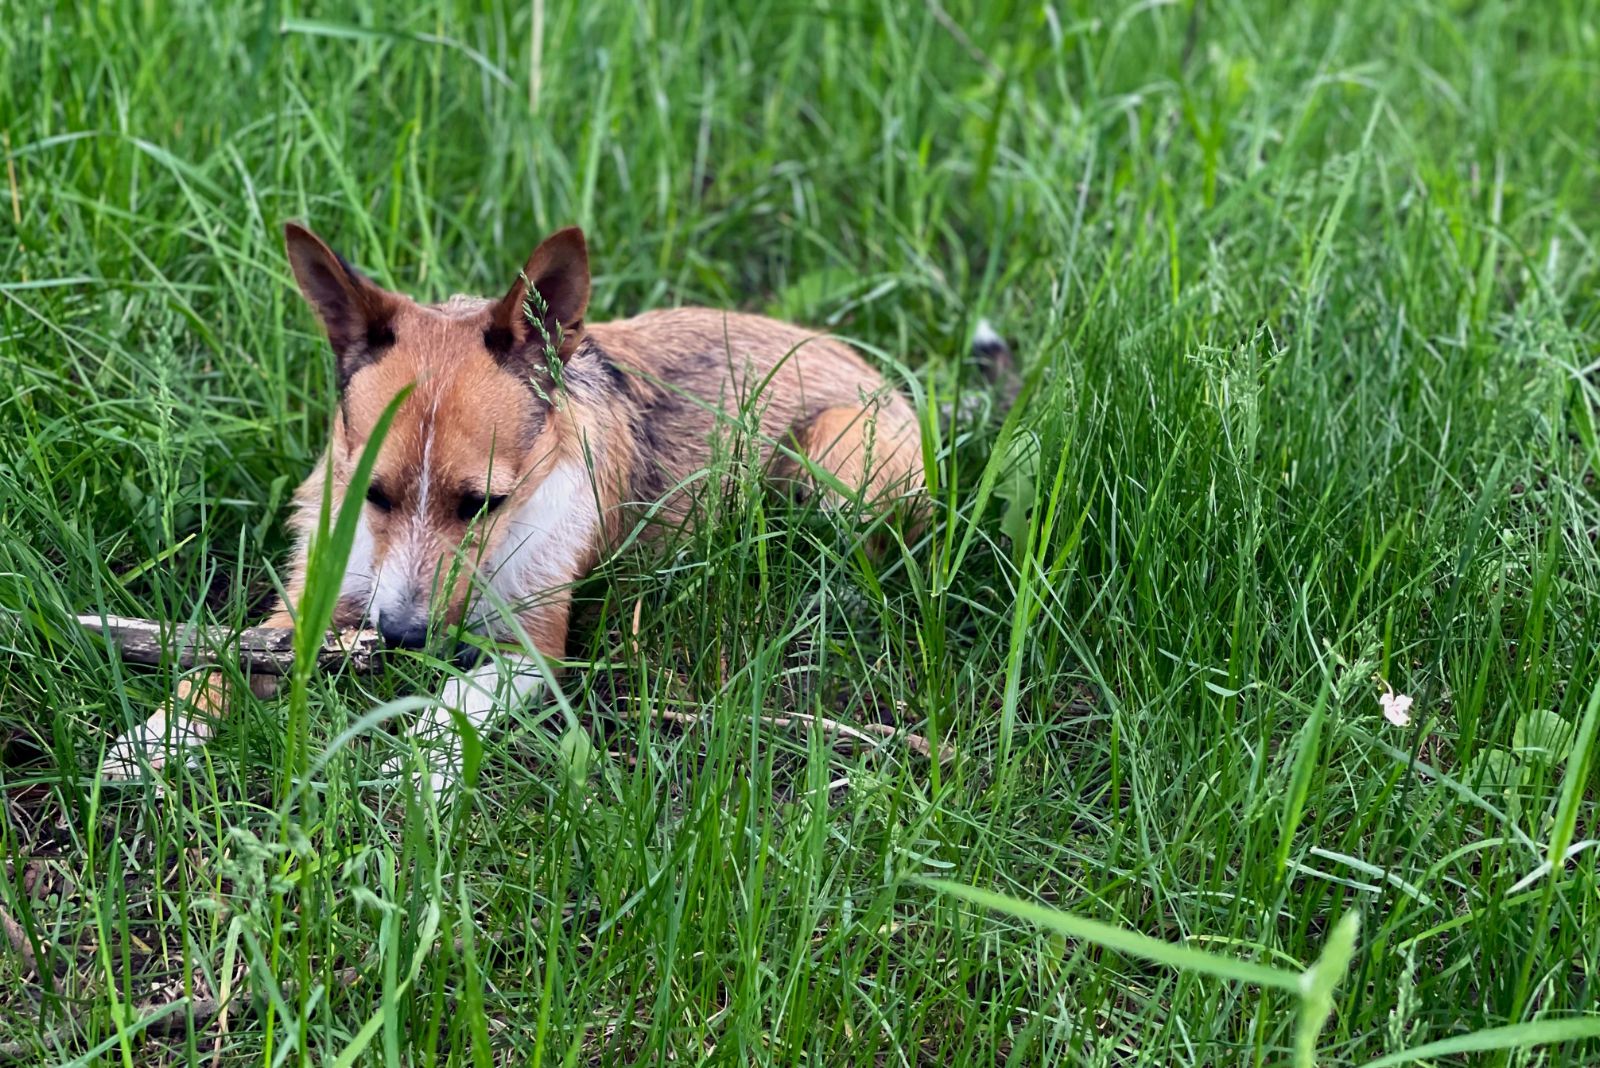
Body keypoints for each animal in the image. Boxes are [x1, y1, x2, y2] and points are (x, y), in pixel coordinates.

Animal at [103, 223, 985, 793]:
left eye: (481, 502)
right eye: (374, 494)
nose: (402, 639)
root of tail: (884, 374)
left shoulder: (534, 648)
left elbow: (459, 700)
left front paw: (420, 762)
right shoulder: (312, 602)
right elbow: (219, 661)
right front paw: (156, 739)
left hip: (834, 459)